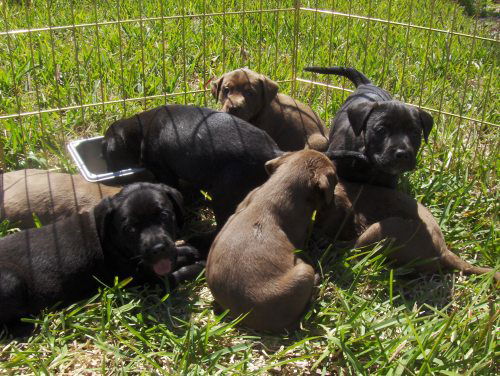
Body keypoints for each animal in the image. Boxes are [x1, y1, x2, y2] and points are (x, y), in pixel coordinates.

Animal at [0, 182, 203, 326]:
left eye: (164, 215)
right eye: (130, 229)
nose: (158, 248)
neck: (111, 239)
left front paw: (190, 251)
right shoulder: (147, 281)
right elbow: (177, 275)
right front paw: (198, 266)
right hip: (11, 281)